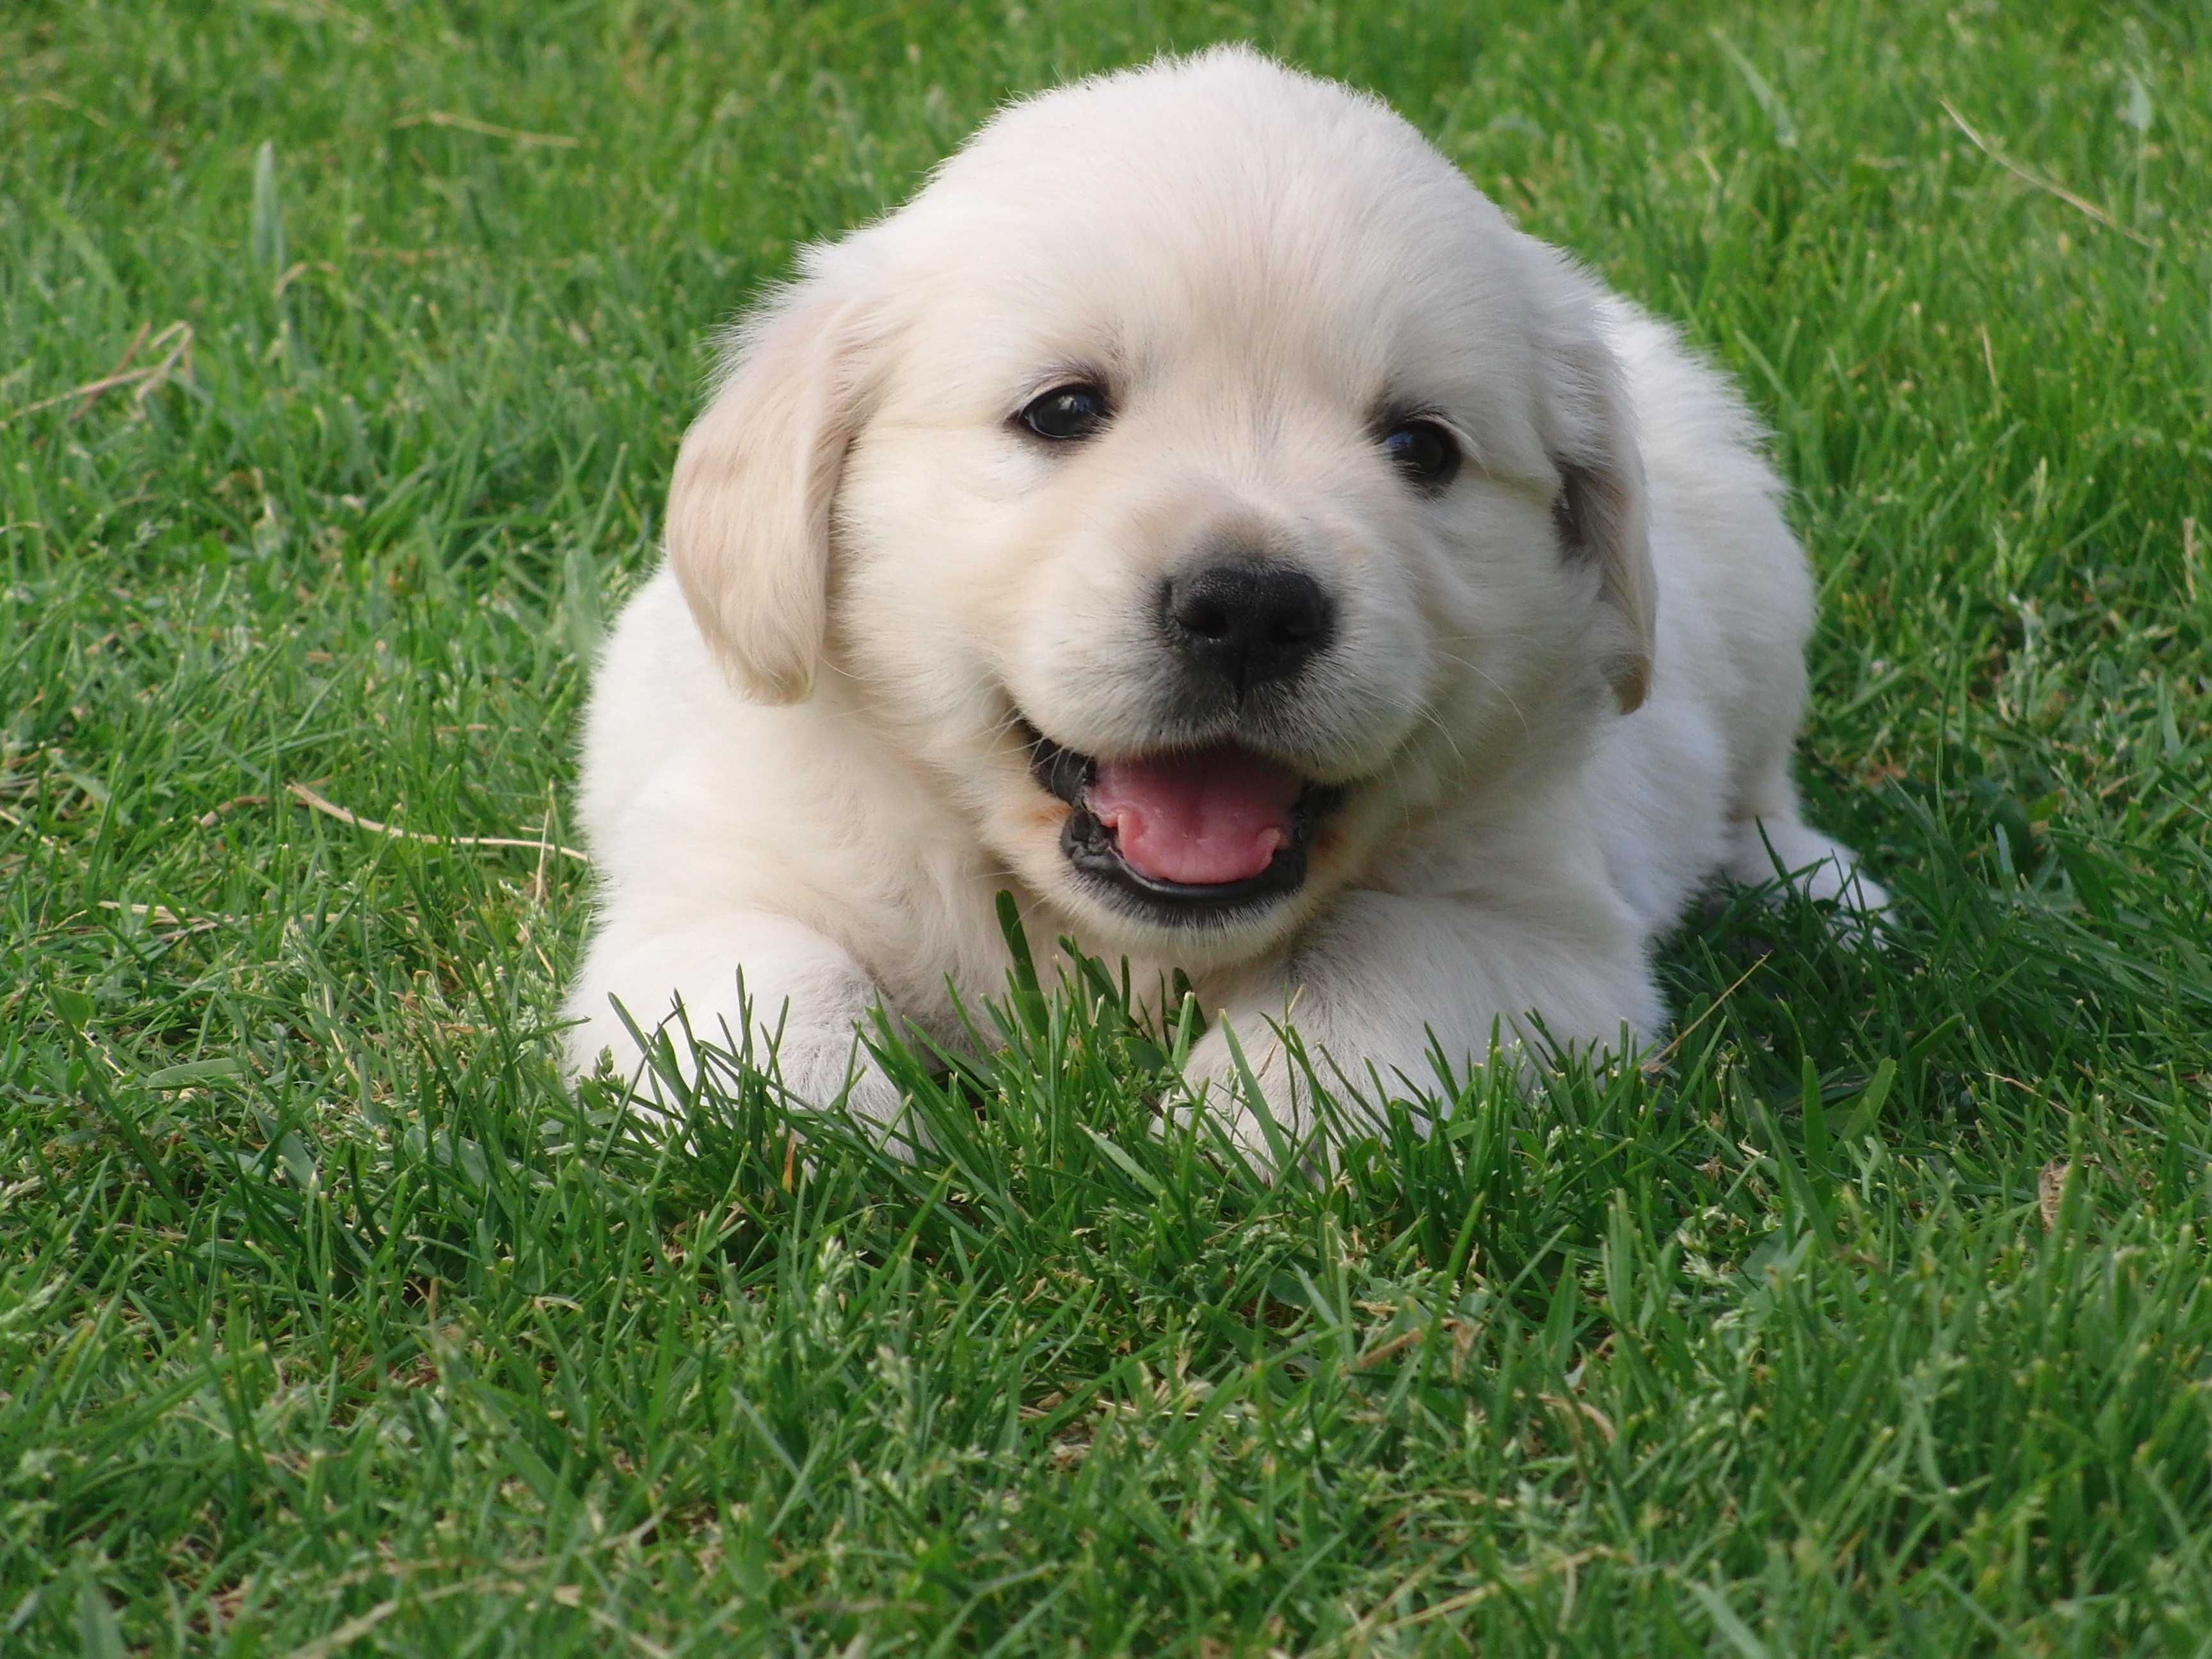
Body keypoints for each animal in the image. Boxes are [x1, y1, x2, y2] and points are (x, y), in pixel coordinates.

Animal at [566, 42, 1884, 1158]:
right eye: (1062, 410)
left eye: (1421, 447)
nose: (1250, 609)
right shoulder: (719, 875)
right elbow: (761, 987)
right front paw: (826, 1134)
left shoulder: (1535, 927)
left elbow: (1369, 971)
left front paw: (1233, 1134)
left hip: (1759, 590)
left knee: (1759, 793)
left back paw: (1832, 897)